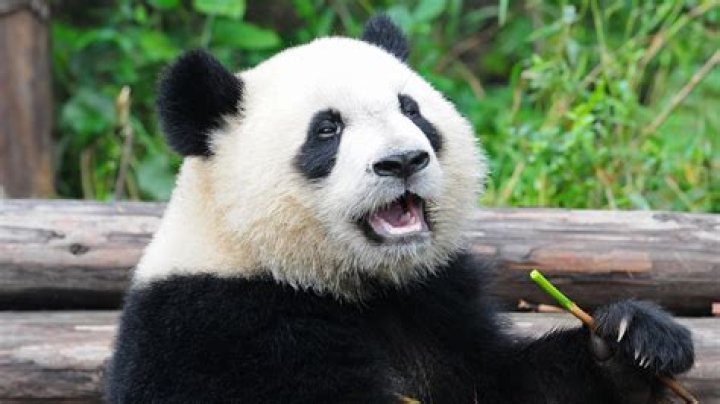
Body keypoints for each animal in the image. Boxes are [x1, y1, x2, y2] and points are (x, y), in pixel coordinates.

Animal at [106, 16, 694, 403]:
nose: (404, 160)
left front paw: (632, 340)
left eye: (411, 109)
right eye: (327, 130)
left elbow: (507, 384)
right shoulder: (220, 329)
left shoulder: (435, 301)